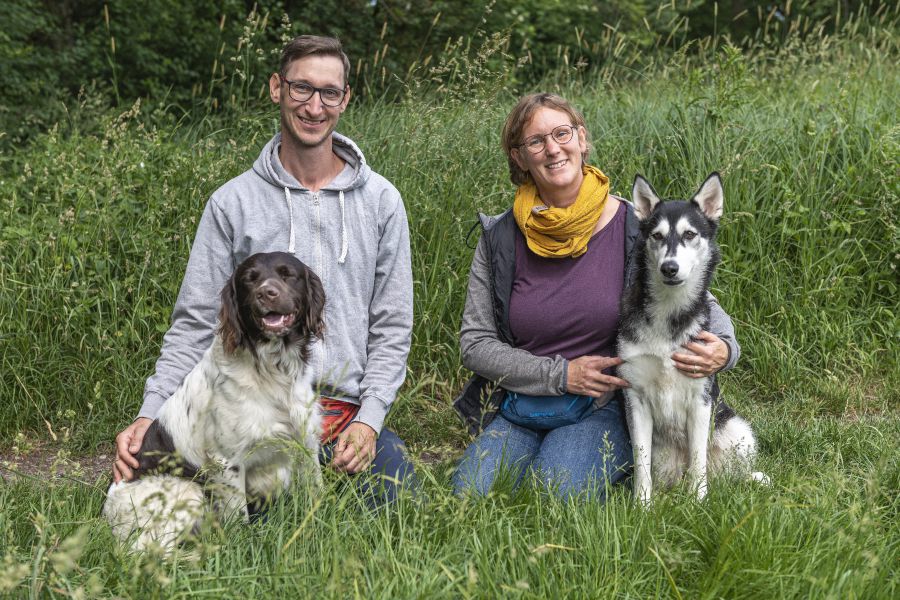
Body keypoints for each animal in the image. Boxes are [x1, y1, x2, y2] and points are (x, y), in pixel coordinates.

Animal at [103, 252, 326, 552]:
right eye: (249, 279)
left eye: (287, 274)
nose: (266, 293)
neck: (273, 370)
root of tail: (109, 516)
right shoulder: (227, 460)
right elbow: (239, 516)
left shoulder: (306, 441)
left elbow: (315, 492)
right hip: (188, 492)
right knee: (145, 550)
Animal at [624, 173, 764, 506]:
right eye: (657, 236)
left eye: (689, 234)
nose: (669, 267)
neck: (669, 314)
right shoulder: (636, 399)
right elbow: (641, 461)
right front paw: (641, 505)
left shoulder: (701, 401)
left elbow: (698, 458)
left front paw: (699, 503)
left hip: (737, 429)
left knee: (724, 472)